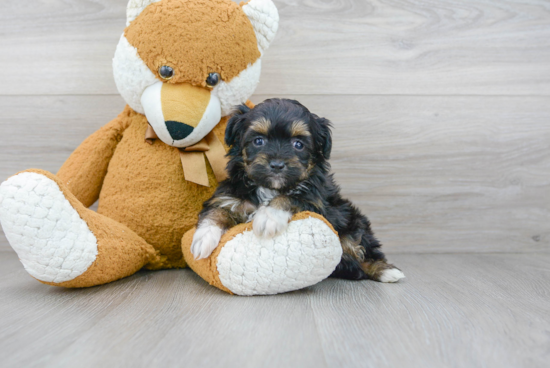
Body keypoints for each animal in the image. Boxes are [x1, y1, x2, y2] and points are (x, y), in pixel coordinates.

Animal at [193, 98, 406, 282]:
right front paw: (203, 238)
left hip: (352, 221)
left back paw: (386, 271)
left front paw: (268, 217)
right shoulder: (231, 196)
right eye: (258, 141)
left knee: (360, 247)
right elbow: (217, 211)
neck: (270, 188)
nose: (277, 165)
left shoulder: (318, 202)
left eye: (298, 144)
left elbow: (293, 197)